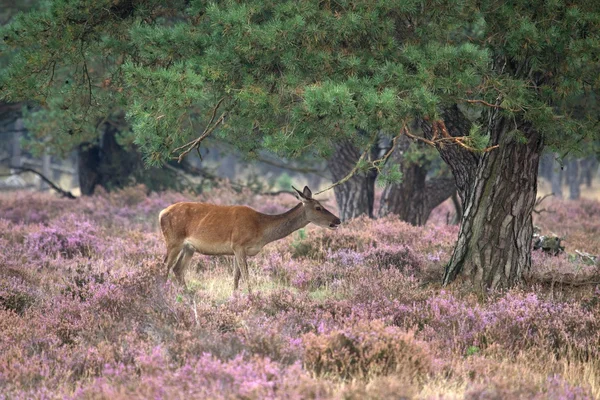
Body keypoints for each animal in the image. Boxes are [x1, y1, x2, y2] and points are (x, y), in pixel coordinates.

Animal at [157, 186, 340, 292]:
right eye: (318, 207)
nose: (337, 220)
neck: (261, 230)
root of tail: (161, 213)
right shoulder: (239, 244)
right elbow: (246, 276)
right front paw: (252, 300)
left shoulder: (235, 249)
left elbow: (236, 277)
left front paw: (235, 298)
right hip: (173, 240)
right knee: (164, 267)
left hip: (189, 247)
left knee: (177, 269)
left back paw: (188, 296)